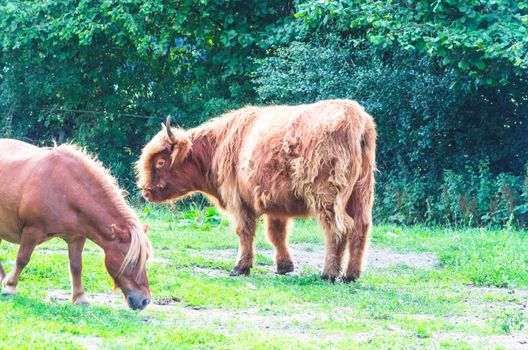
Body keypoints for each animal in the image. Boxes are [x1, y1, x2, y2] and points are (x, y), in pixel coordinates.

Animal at [0, 139, 153, 308]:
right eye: (131, 262)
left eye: (145, 258)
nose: (144, 301)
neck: (66, 190)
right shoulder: (32, 231)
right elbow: (22, 259)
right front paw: (10, 287)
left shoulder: (77, 237)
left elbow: (76, 266)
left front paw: (80, 297)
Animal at [136, 98, 376, 282]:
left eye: (160, 162)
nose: (145, 191)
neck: (217, 146)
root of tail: (355, 116)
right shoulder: (276, 203)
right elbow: (276, 234)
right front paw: (284, 266)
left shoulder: (237, 199)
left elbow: (244, 232)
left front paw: (240, 267)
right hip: (361, 191)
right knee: (361, 227)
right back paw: (351, 275)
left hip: (327, 194)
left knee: (338, 228)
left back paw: (329, 274)